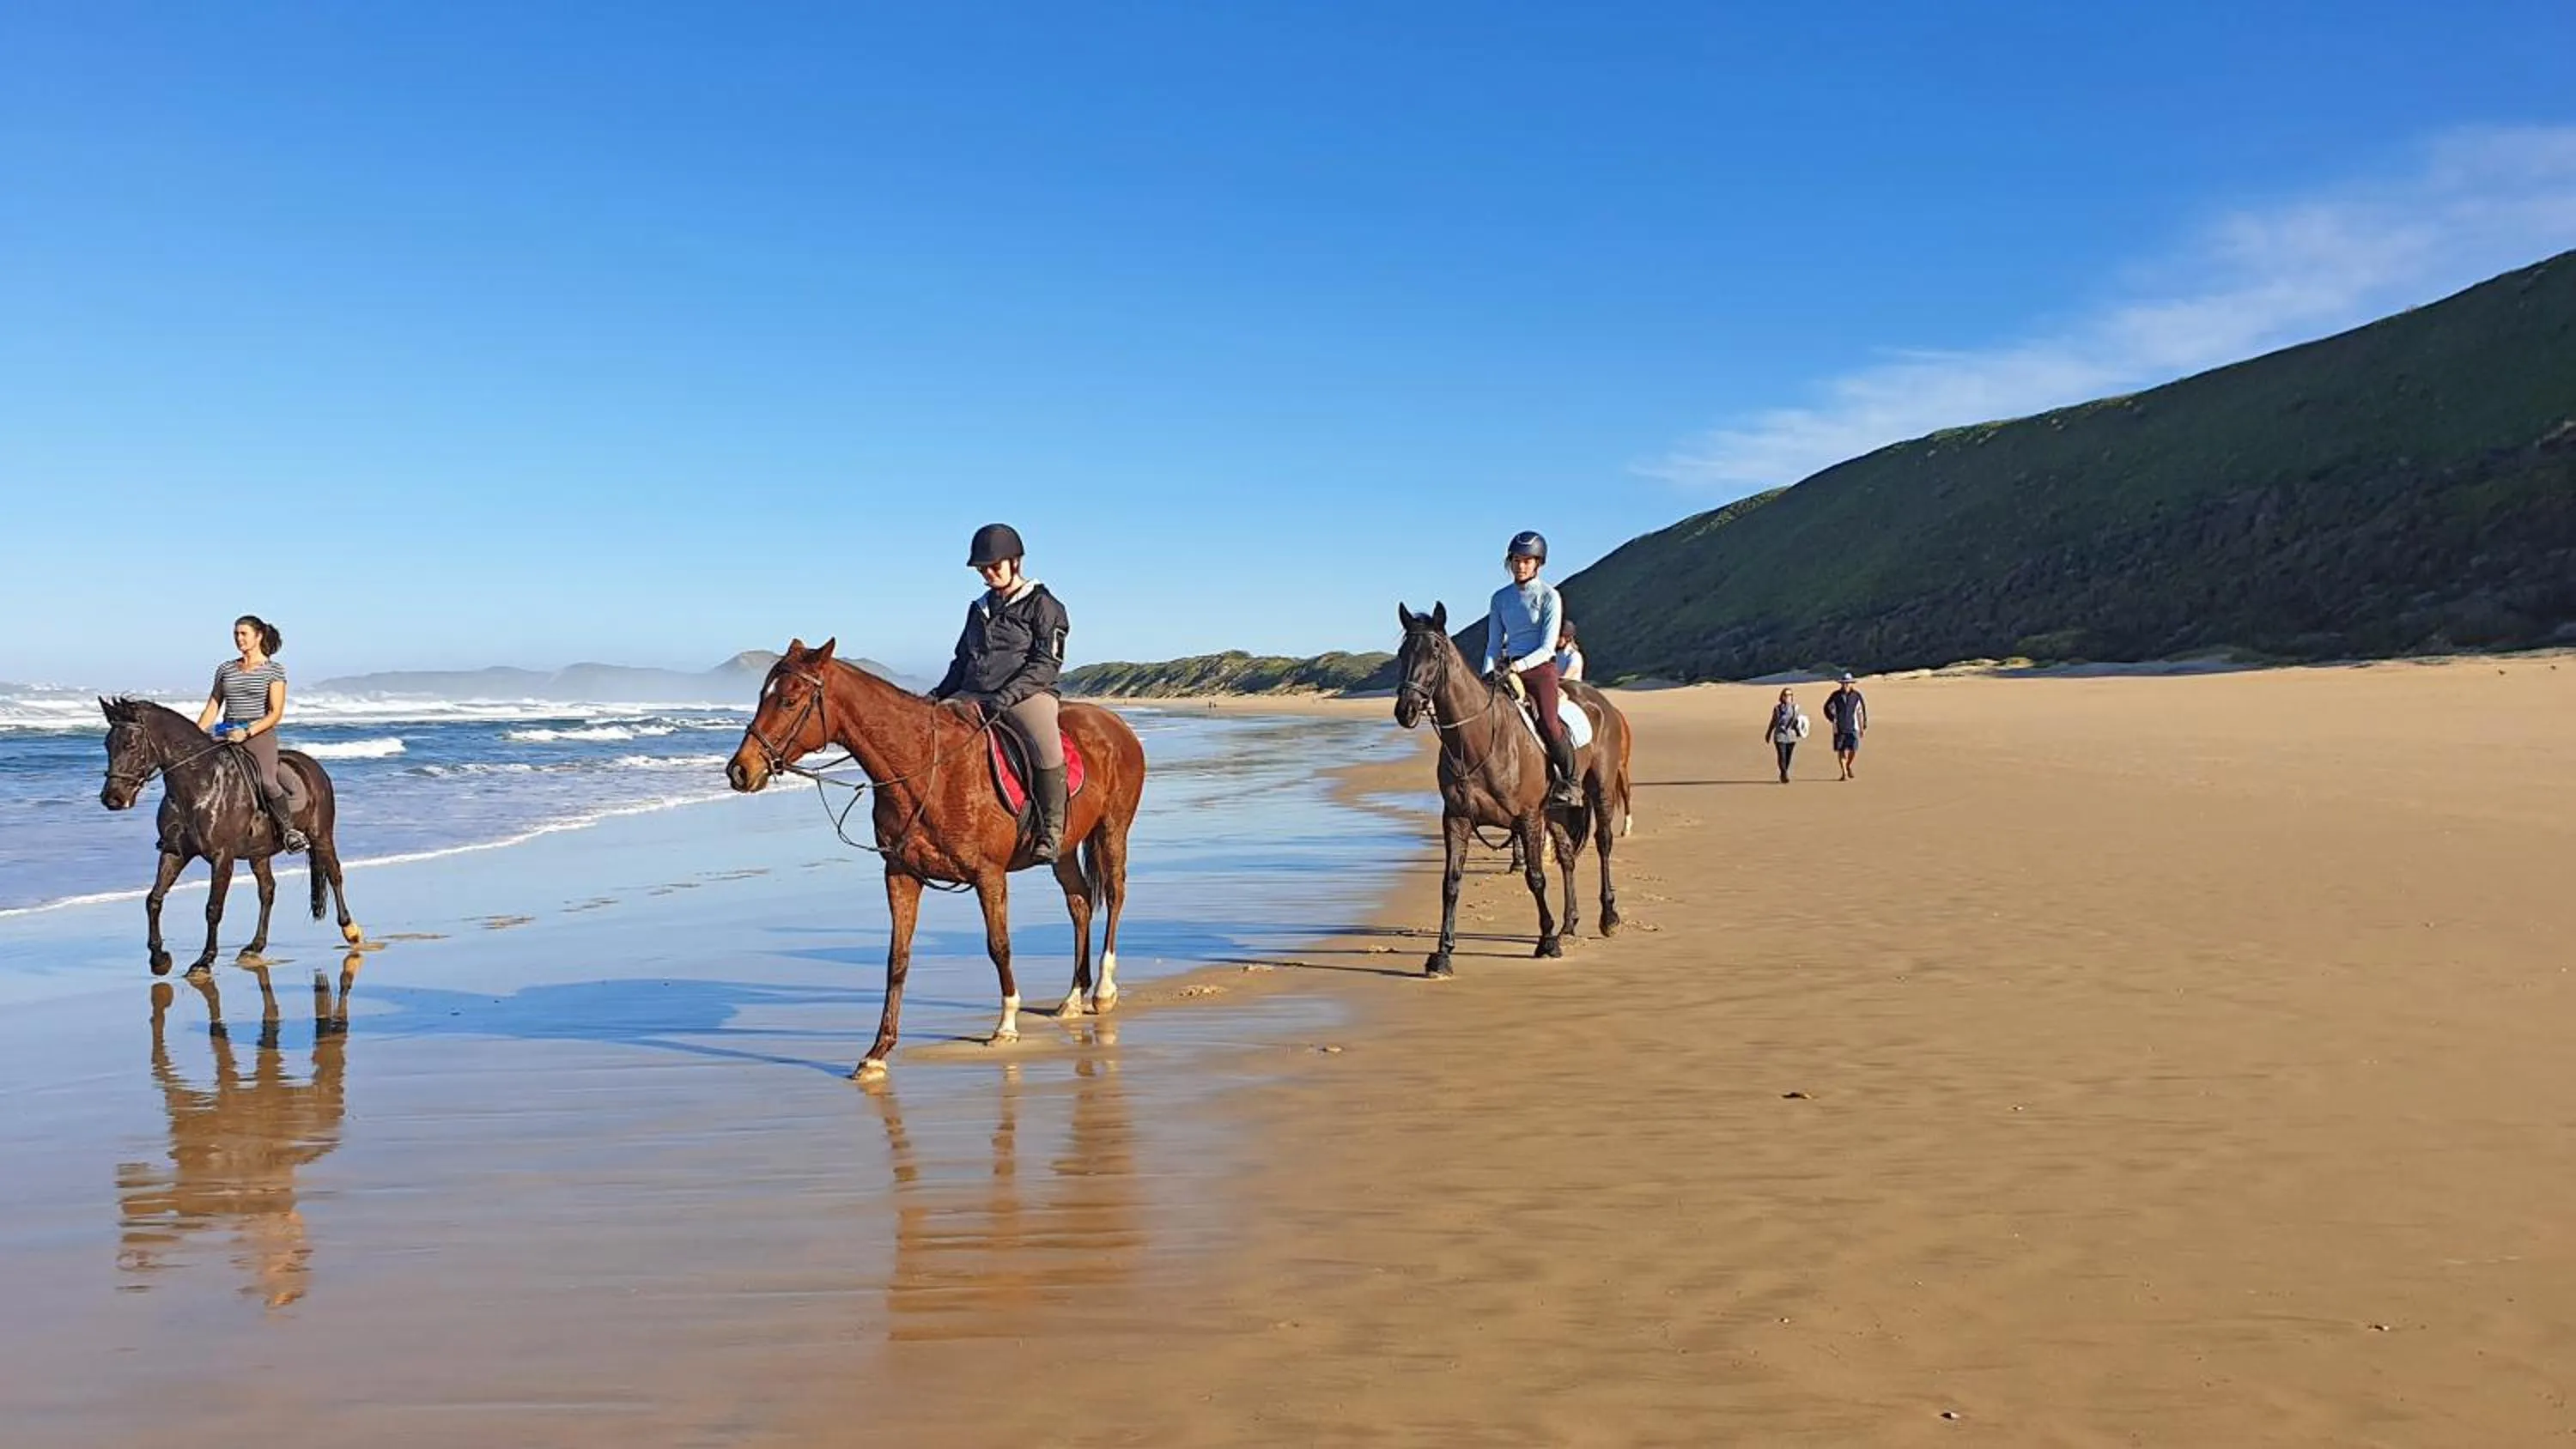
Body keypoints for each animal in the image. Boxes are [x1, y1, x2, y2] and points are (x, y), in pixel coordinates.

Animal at [98, 698, 363, 976]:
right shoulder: (175, 852)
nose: (112, 798)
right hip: (260, 853)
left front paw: (204, 960)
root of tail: (312, 764)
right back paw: (255, 947)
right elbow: (154, 899)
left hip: (321, 835)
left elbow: (213, 909)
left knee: (334, 875)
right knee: (267, 891)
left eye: (130, 744)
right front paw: (159, 959)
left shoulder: (222, 857)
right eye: (107, 744)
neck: (201, 784)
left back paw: (351, 931)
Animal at [724, 638, 1148, 1079]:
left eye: (789, 700)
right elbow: (897, 958)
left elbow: (999, 945)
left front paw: (1006, 1026)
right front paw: (877, 1052)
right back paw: (1073, 997)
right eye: (762, 696)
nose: (740, 770)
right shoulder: (900, 874)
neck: (928, 769)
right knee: (1079, 903)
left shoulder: (989, 875)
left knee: (1114, 895)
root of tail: (1114, 723)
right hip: (1064, 849)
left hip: (1112, 831)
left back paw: (1103, 991)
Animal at [1392, 602, 1630, 977]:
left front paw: (1546, 942)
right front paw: (1442, 954)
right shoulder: (1457, 819)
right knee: (1567, 857)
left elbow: (1535, 878)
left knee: (1603, 843)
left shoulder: (1529, 818)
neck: (1477, 738)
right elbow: (1451, 883)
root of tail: (1601, 702)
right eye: (1403, 653)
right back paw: (1569, 924)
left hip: (1601, 788)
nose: (1407, 709)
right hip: (1557, 810)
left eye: (1436, 650)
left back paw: (1608, 918)